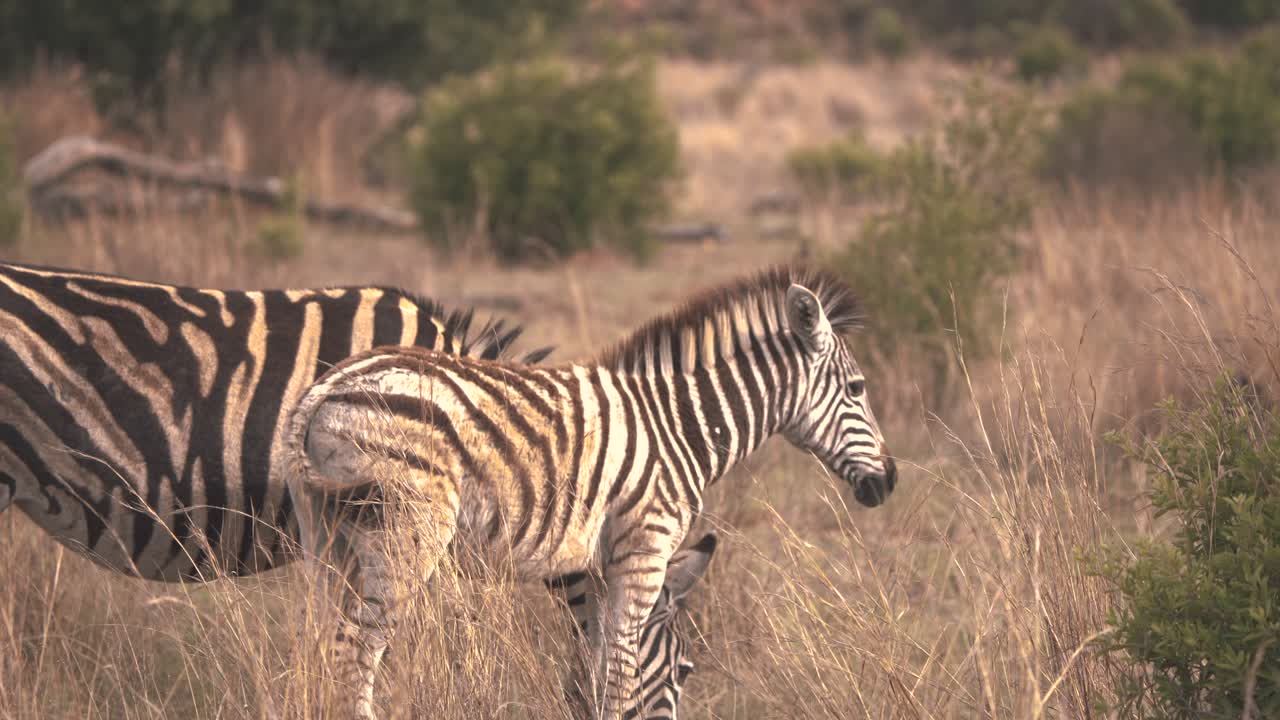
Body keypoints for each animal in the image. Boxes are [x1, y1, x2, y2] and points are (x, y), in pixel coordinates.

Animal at [285, 264, 897, 719]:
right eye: (857, 389)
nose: (889, 481)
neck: (679, 426)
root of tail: (324, 389)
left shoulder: (601, 567)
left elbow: (597, 675)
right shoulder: (644, 550)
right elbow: (622, 678)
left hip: (329, 533)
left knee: (318, 648)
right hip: (408, 530)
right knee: (355, 652)